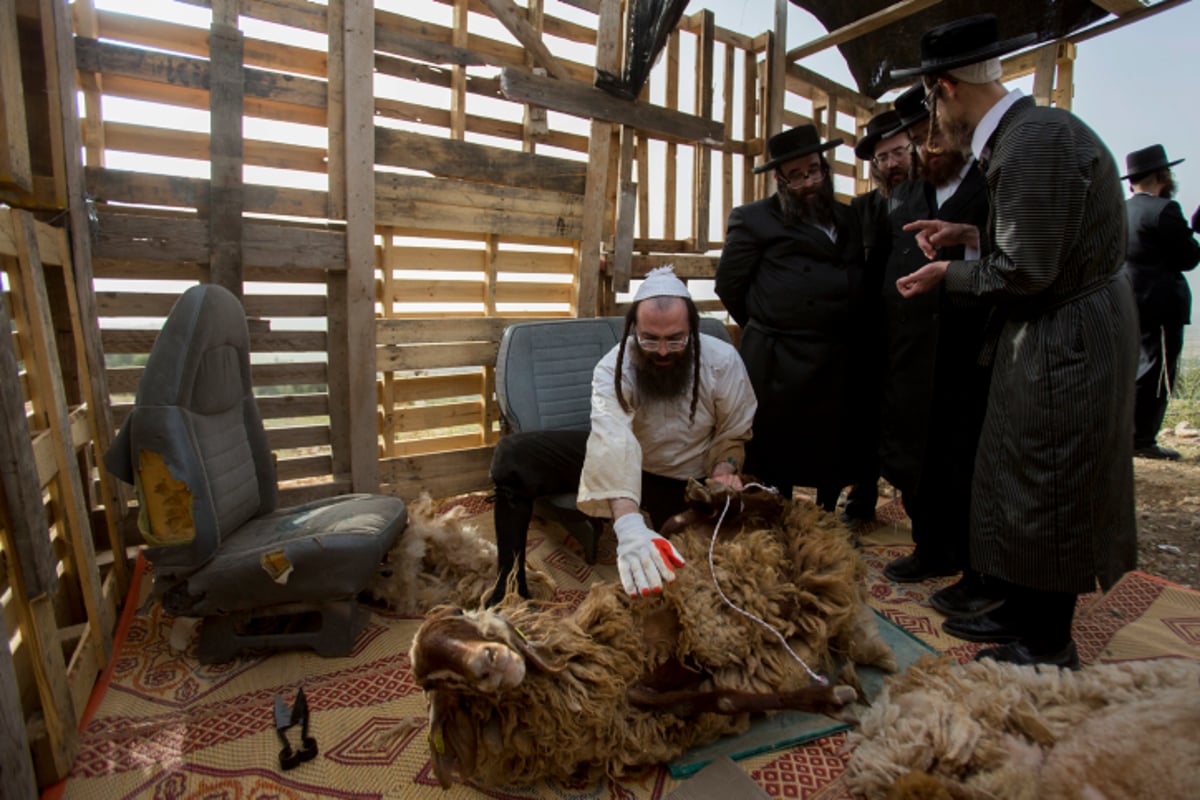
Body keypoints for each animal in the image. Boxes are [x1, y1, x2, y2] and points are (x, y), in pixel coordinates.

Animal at [408, 484, 897, 791]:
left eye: (463, 621)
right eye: (440, 683)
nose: (489, 661)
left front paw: (833, 697)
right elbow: (696, 697)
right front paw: (832, 696)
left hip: (751, 528)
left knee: (752, 505)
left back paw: (715, 494)